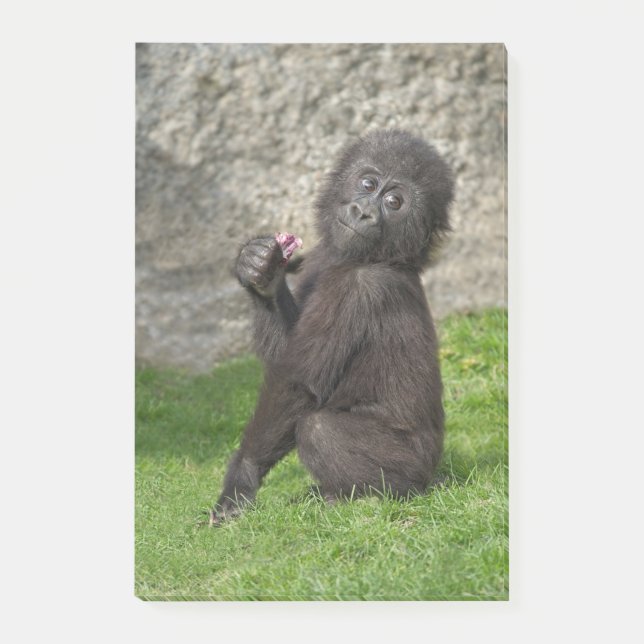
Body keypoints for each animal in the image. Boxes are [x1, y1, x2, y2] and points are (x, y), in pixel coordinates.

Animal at [210, 129, 454, 525]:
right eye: (367, 183)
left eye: (395, 202)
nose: (363, 211)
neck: (382, 256)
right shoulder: (323, 256)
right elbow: (287, 356)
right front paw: (262, 272)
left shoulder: (361, 288)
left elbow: (299, 385)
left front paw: (242, 475)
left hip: (416, 465)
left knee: (319, 429)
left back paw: (370, 496)